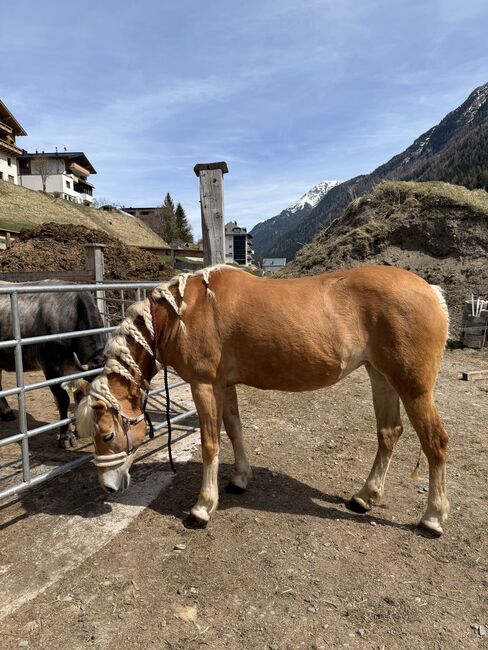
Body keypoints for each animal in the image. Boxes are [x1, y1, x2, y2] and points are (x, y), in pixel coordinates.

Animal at [74, 264, 450, 536]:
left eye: (106, 434)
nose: (108, 487)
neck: (180, 313)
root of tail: (431, 291)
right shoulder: (223, 384)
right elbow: (234, 430)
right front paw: (240, 478)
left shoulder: (203, 384)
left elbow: (210, 443)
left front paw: (202, 507)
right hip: (380, 376)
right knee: (389, 433)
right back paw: (365, 496)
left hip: (413, 388)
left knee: (435, 442)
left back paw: (432, 516)